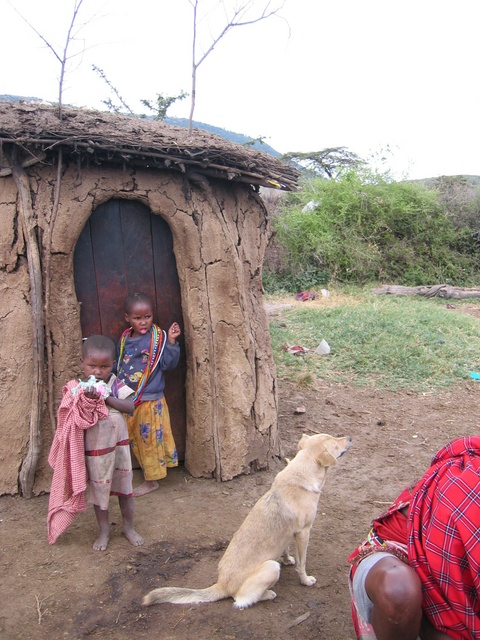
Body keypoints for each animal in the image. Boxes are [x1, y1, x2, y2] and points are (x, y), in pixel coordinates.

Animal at [142, 432, 352, 608]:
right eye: (335, 443)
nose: (349, 438)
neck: (302, 474)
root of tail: (221, 584)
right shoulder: (304, 532)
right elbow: (303, 563)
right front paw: (306, 580)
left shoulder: (290, 532)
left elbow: (286, 549)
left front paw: (287, 559)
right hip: (271, 567)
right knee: (241, 599)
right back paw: (268, 594)